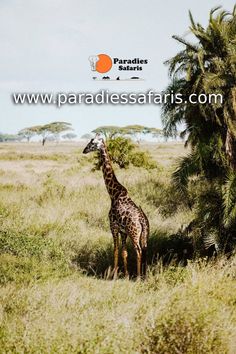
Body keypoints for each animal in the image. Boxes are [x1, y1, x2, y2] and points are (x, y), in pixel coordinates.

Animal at [83, 134, 149, 278]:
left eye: (92, 142)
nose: (84, 150)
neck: (114, 194)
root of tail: (142, 220)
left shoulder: (113, 226)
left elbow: (115, 250)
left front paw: (113, 275)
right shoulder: (123, 231)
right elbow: (124, 252)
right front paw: (125, 275)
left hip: (134, 233)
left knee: (138, 250)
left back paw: (139, 277)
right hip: (144, 234)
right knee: (145, 249)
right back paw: (144, 275)